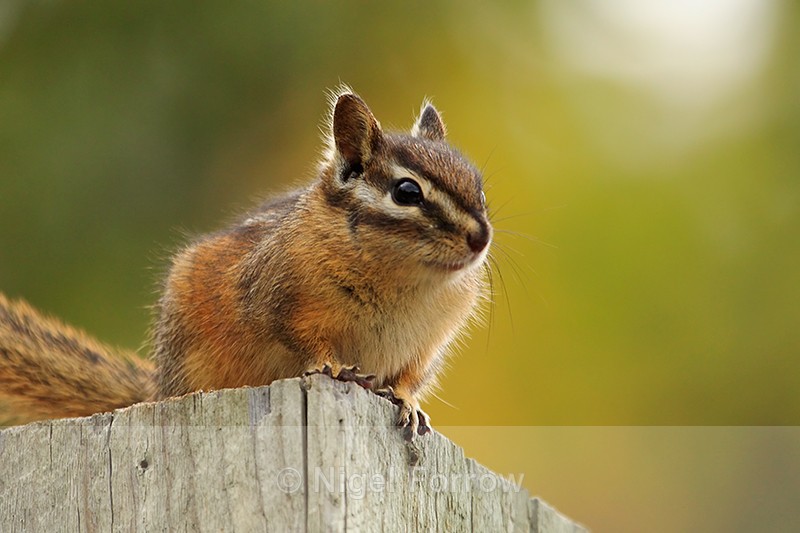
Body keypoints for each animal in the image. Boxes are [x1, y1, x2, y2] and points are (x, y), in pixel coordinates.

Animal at [0, 89, 492, 438]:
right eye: (407, 192)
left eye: (479, 188)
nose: (481, 237)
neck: (404, 278)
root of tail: (159, 388)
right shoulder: (275, 297)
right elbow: (302, 339)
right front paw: (335, 367)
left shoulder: (428, 345)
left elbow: (410, 377)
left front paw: (409, 403)